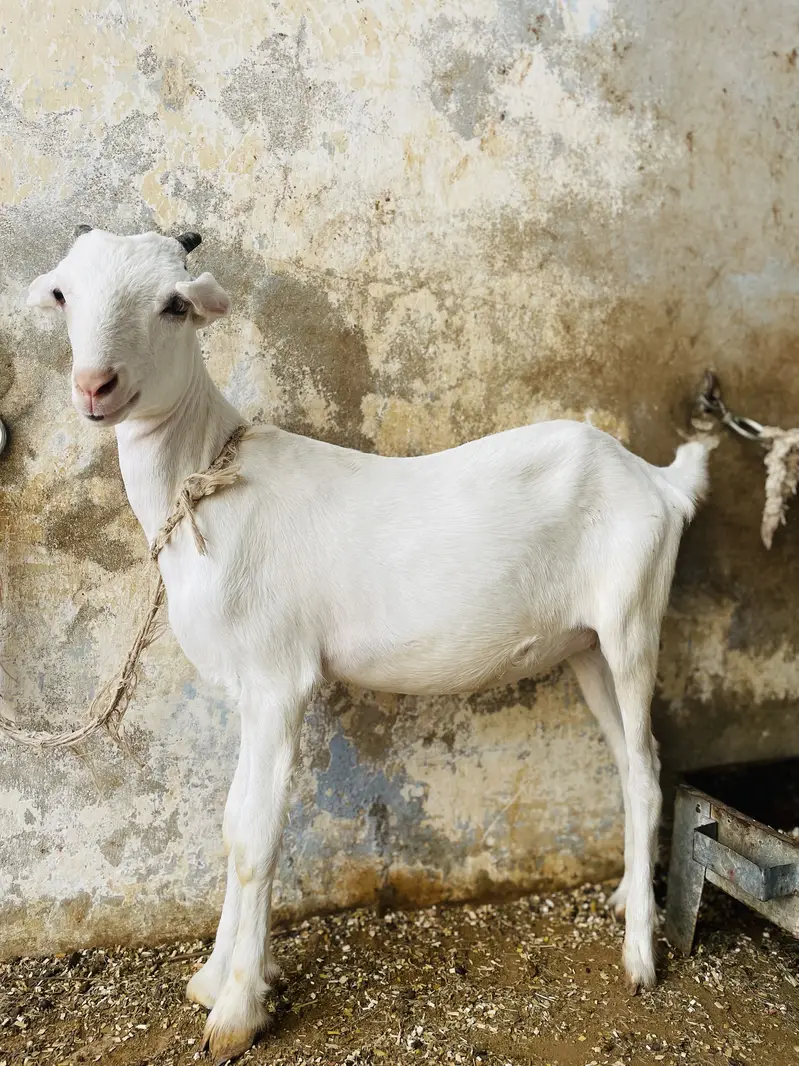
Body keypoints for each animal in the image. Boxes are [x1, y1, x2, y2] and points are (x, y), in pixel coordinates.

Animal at [28, 228, 708, 1063]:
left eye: (174, 305)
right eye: (64, 294)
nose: (96, 385)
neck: (208, 489)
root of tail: (657, 481)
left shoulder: (280, 677)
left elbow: (255, 836)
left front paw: (237, 1010)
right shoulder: (244, 685)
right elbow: (230, 822)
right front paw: (213, 979)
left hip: (633, 620)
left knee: (645, 770)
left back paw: (640, 959)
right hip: (585, 647)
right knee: (629, 761)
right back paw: (622, 899)